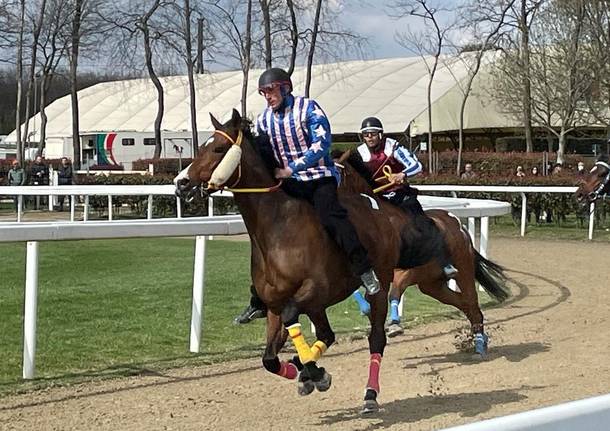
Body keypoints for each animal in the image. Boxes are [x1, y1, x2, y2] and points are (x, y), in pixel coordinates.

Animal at [173, 109, 400, 414]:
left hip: (378, 285)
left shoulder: (314, 290)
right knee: (327, 334)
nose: (181, 182)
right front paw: (306, 371)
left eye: (219, 148)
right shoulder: (275, 304)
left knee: (376, 338)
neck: (278, 228)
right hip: (317, 306)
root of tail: (377, 206)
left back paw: (370, 395)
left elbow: (293, 318)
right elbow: (269, 359)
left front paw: (313, 371)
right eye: (200, 147)